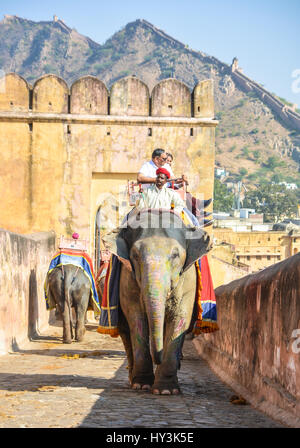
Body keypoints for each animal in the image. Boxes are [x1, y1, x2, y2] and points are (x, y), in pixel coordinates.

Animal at [102, 208, 210, 394]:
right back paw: (132, 379)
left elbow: (180, 317)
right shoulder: (127, 275)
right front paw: (142, 385)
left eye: (175, 255)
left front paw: (166, 391)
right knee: (125, 331)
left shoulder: (189, 278)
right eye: (135, 255)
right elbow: (136, 317)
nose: (157, 358)